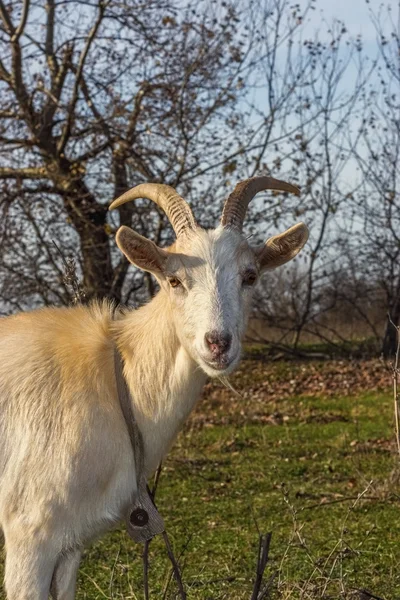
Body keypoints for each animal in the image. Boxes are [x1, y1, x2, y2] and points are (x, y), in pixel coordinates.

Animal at [0, 178, 310, 600]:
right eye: (174, 280)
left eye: (249, 276)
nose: (218, 343)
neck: (115, 382)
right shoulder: (29, 533)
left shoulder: (69, 545)